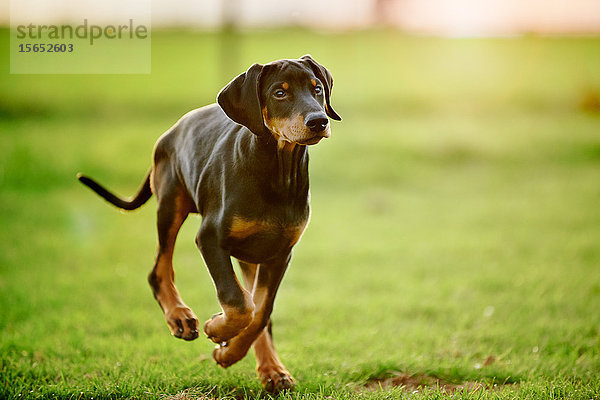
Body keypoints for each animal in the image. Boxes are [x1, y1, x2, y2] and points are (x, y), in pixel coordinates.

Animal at [78, 54, 342, 392]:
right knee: (159, 269)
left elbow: (260, 312)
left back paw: (272, 369)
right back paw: (180, 317)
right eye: (279, 93)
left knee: (257, 308)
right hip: (170, 203)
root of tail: (173, 129)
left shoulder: (280, 252)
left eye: (317, 88)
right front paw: (218, 329)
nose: (318, 121)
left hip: (251, 254)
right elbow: (238, 302)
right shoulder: (210, 238)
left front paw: (230, 353)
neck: (276, 170)